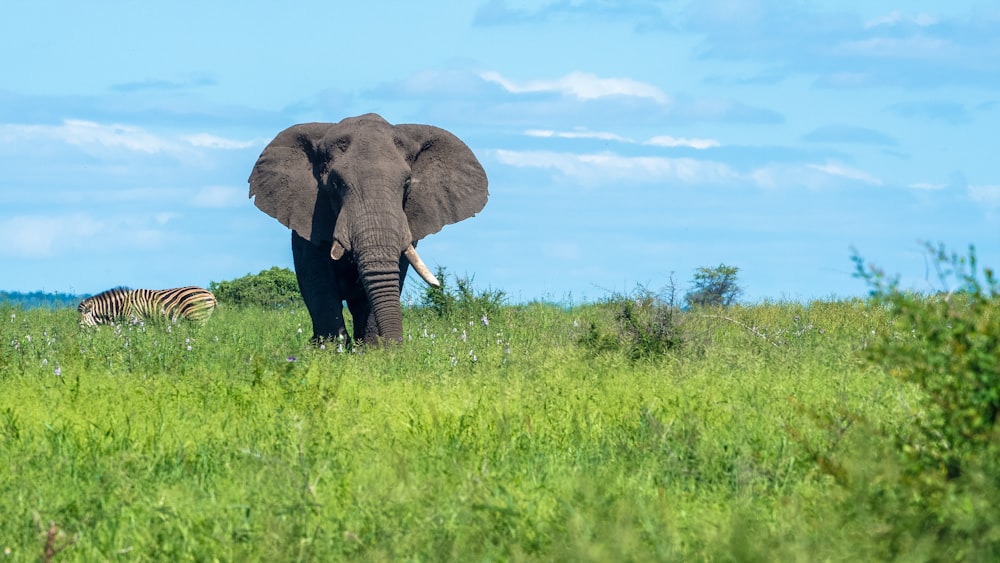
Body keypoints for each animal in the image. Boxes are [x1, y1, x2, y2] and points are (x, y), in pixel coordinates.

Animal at [246, 113, 488, 346]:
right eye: (335, 183)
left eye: (407, 183)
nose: (396, 347)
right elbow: (318, 278)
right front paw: (331, 351)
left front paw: (373, 352)